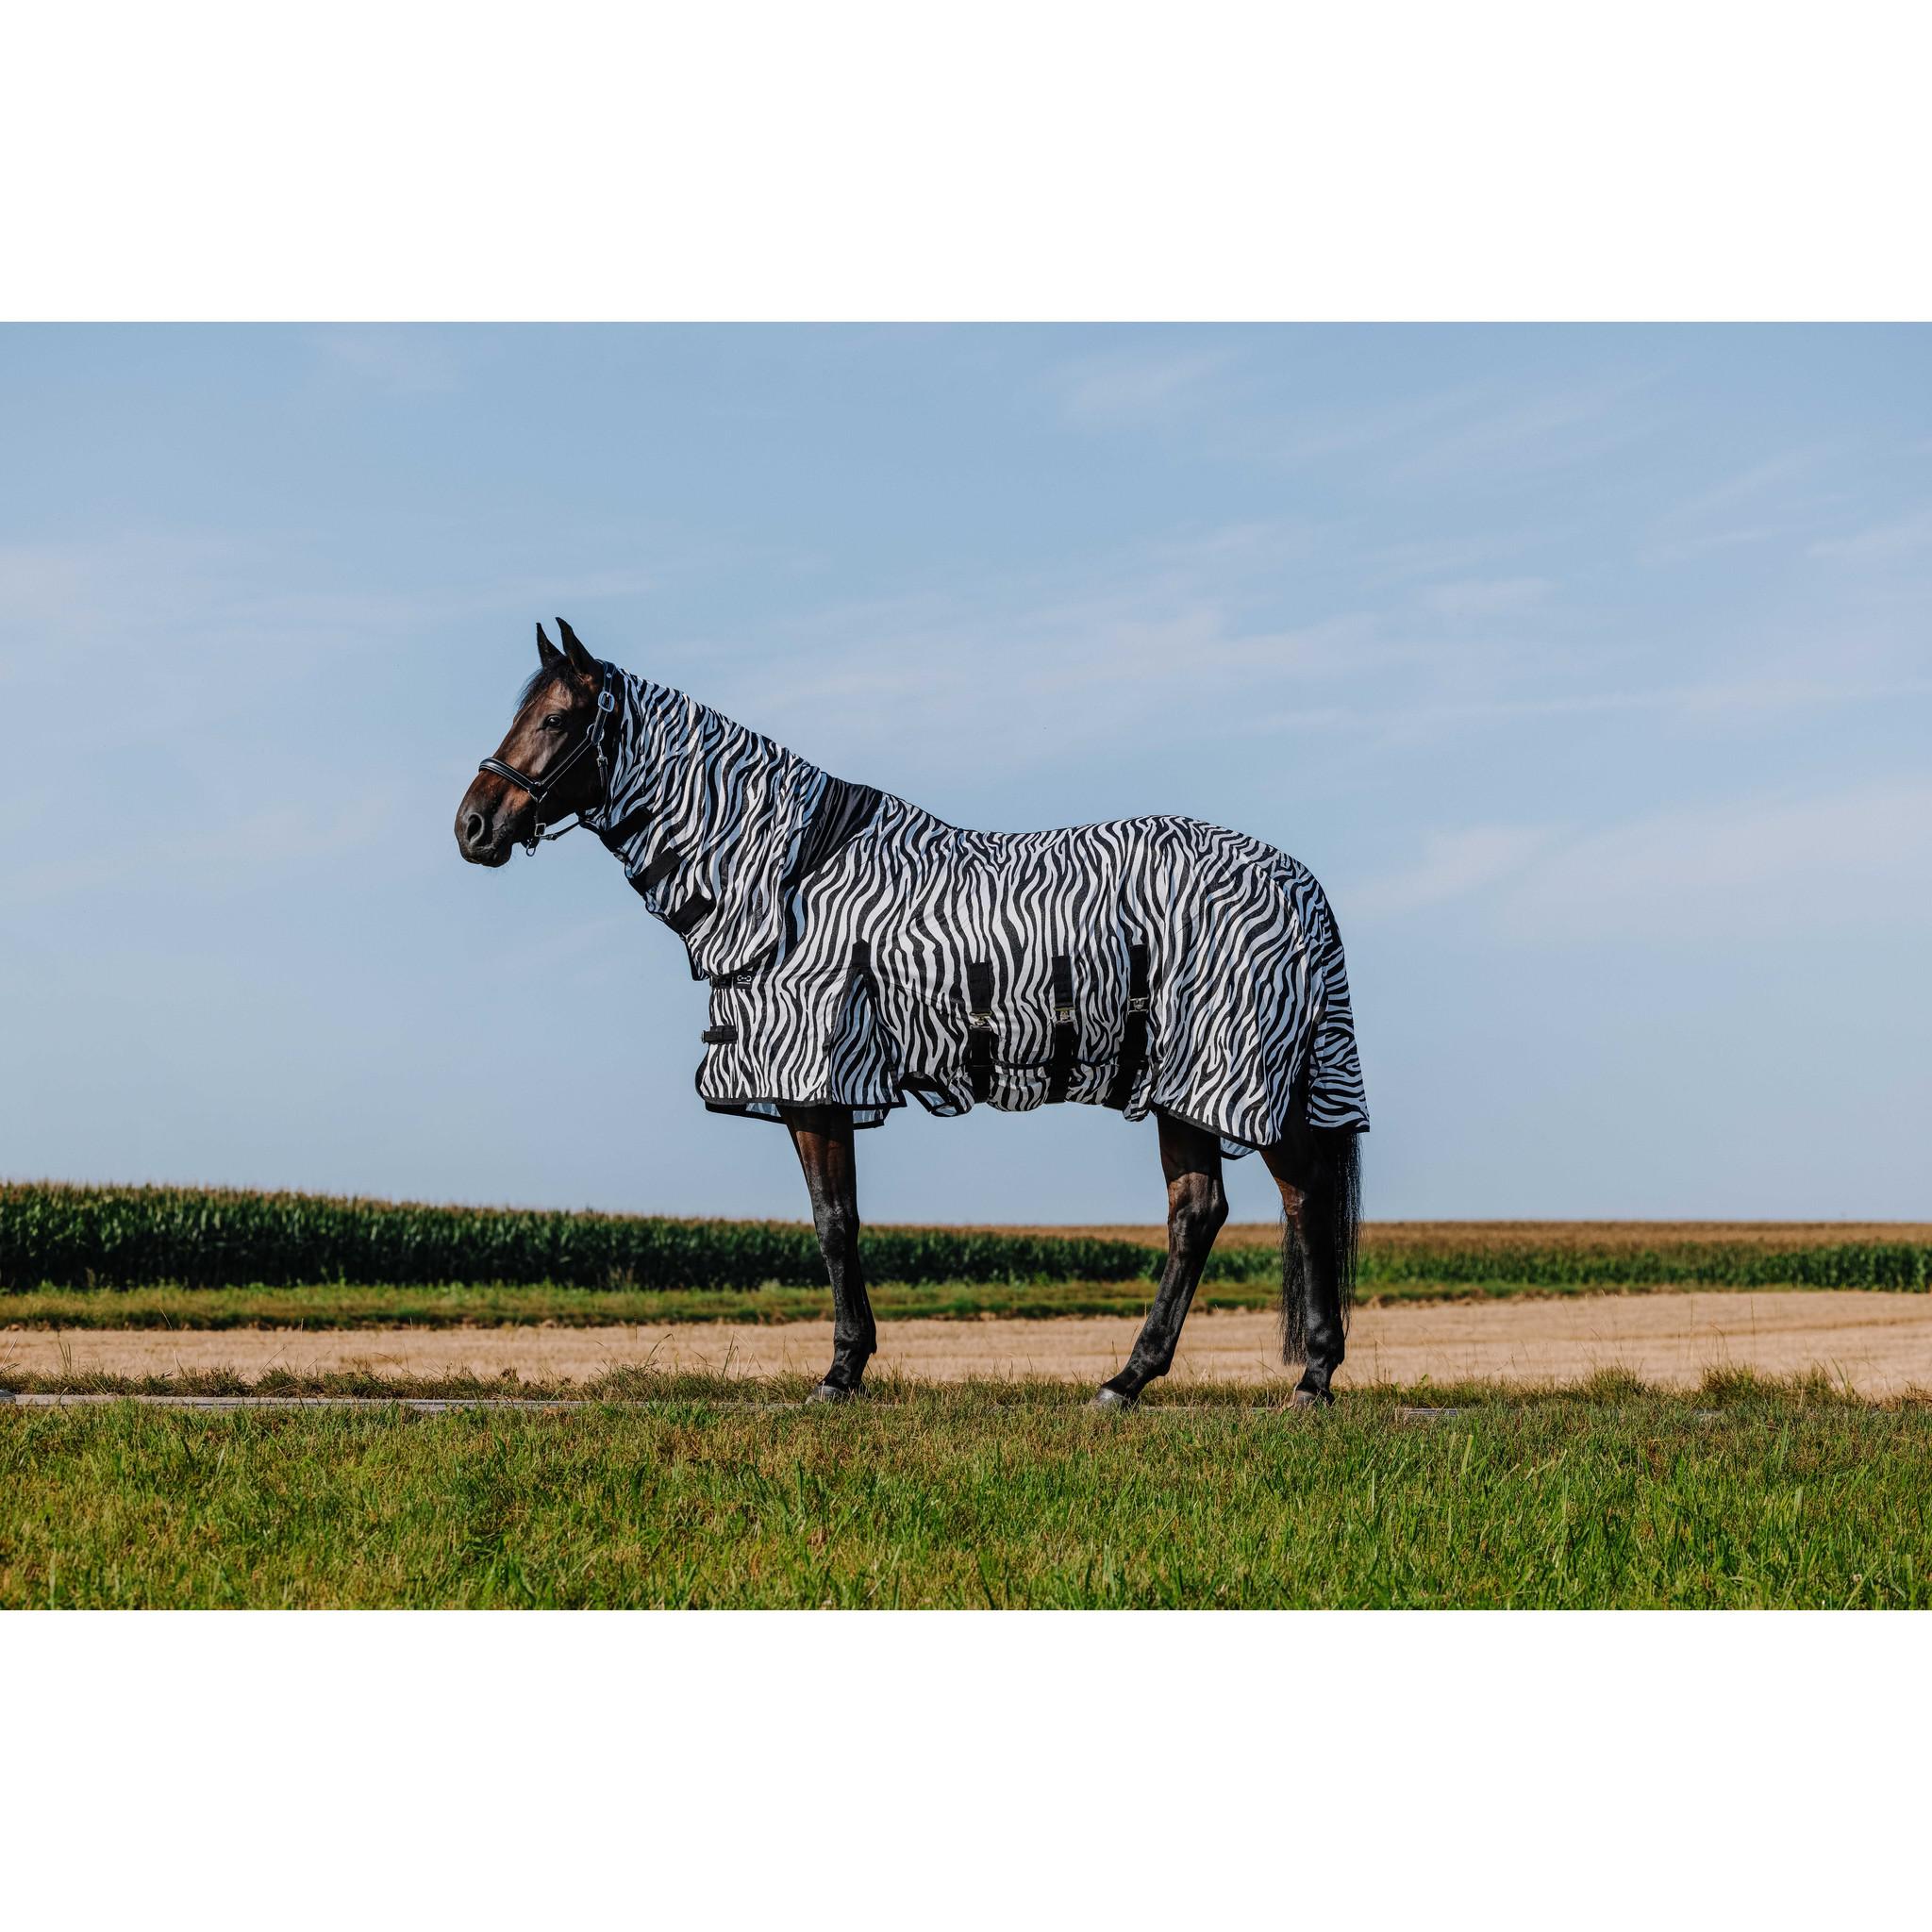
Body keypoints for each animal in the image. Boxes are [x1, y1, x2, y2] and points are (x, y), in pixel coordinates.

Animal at [456, 620, 1369, 1408]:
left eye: (556, 718)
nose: (473, 826)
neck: (788, 877)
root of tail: (1299, 882)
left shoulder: (818, 1082)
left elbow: (835, 1223)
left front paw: (841, 1372)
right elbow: (841, 1220)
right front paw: (850, 1365)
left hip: (1230, 1073)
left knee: (1299, 1198)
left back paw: (1309, 1379)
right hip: (1179, 1085)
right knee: (1199, 1213)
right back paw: (1130, 1380)